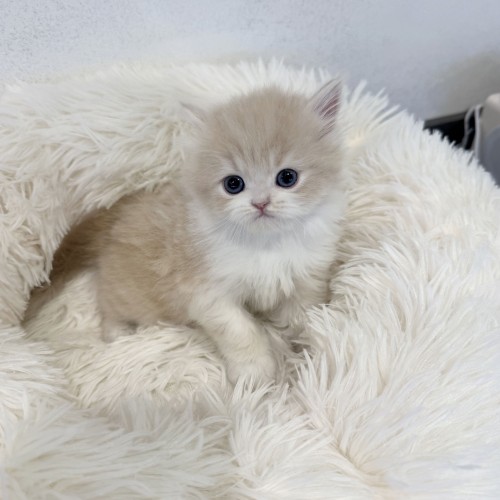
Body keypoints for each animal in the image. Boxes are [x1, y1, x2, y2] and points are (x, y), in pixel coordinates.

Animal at [47, 80, 346, 384]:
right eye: (233, 184)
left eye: (287, 177)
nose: (260, 203)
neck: (266, 244)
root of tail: (117, 213)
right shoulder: (206, 291)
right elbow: (240, 332)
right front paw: (254, 373)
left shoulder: (307, 276)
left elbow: (299, 316)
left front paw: (302, 351)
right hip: (130, 294)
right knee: (109, 306)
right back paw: (118, 333)